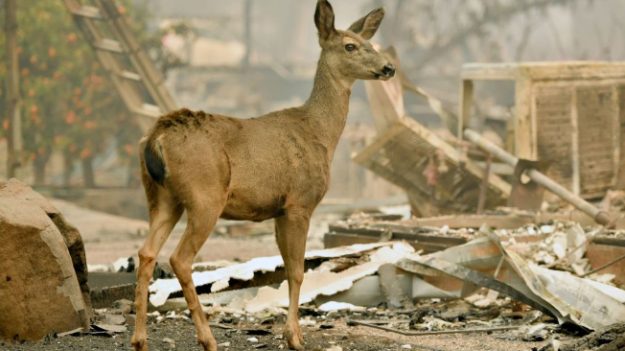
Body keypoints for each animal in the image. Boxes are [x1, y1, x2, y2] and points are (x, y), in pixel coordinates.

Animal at [130, 1, 394, 350]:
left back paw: (139, 340)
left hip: (161, 196)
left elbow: (287, 270)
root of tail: (157, 137)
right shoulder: (299, 203)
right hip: (205, 196)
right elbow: (297, 271)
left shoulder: (279, 210)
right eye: (350, 46)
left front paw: (293, 333)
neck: (320, 133)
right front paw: (294, 337)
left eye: (370, 43)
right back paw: (208, 339)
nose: (389, 67)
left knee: (146, 253)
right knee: (179, 258)